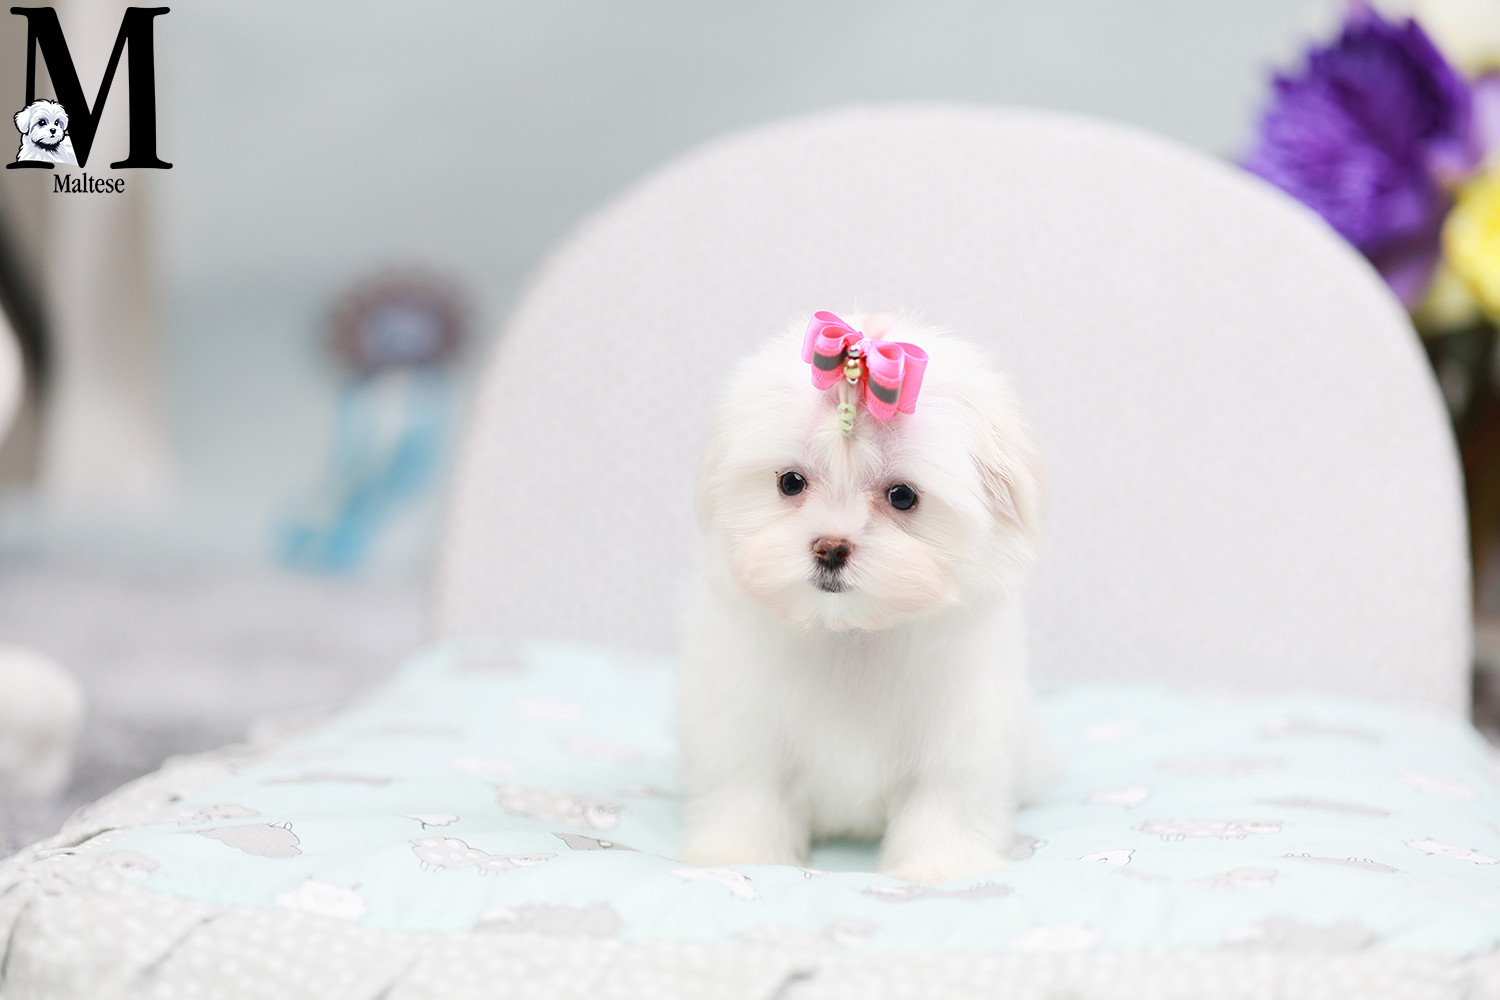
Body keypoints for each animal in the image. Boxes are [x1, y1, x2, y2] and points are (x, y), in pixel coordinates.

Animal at [678, 310, 1055, 885]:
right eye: (791, 482)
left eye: (902, 496)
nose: (831, 547)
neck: (849, 631)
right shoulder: (743, 721)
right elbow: (749, 788)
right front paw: (739, 856)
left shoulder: (959, 731)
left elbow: (945, 798)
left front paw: (939, 867)